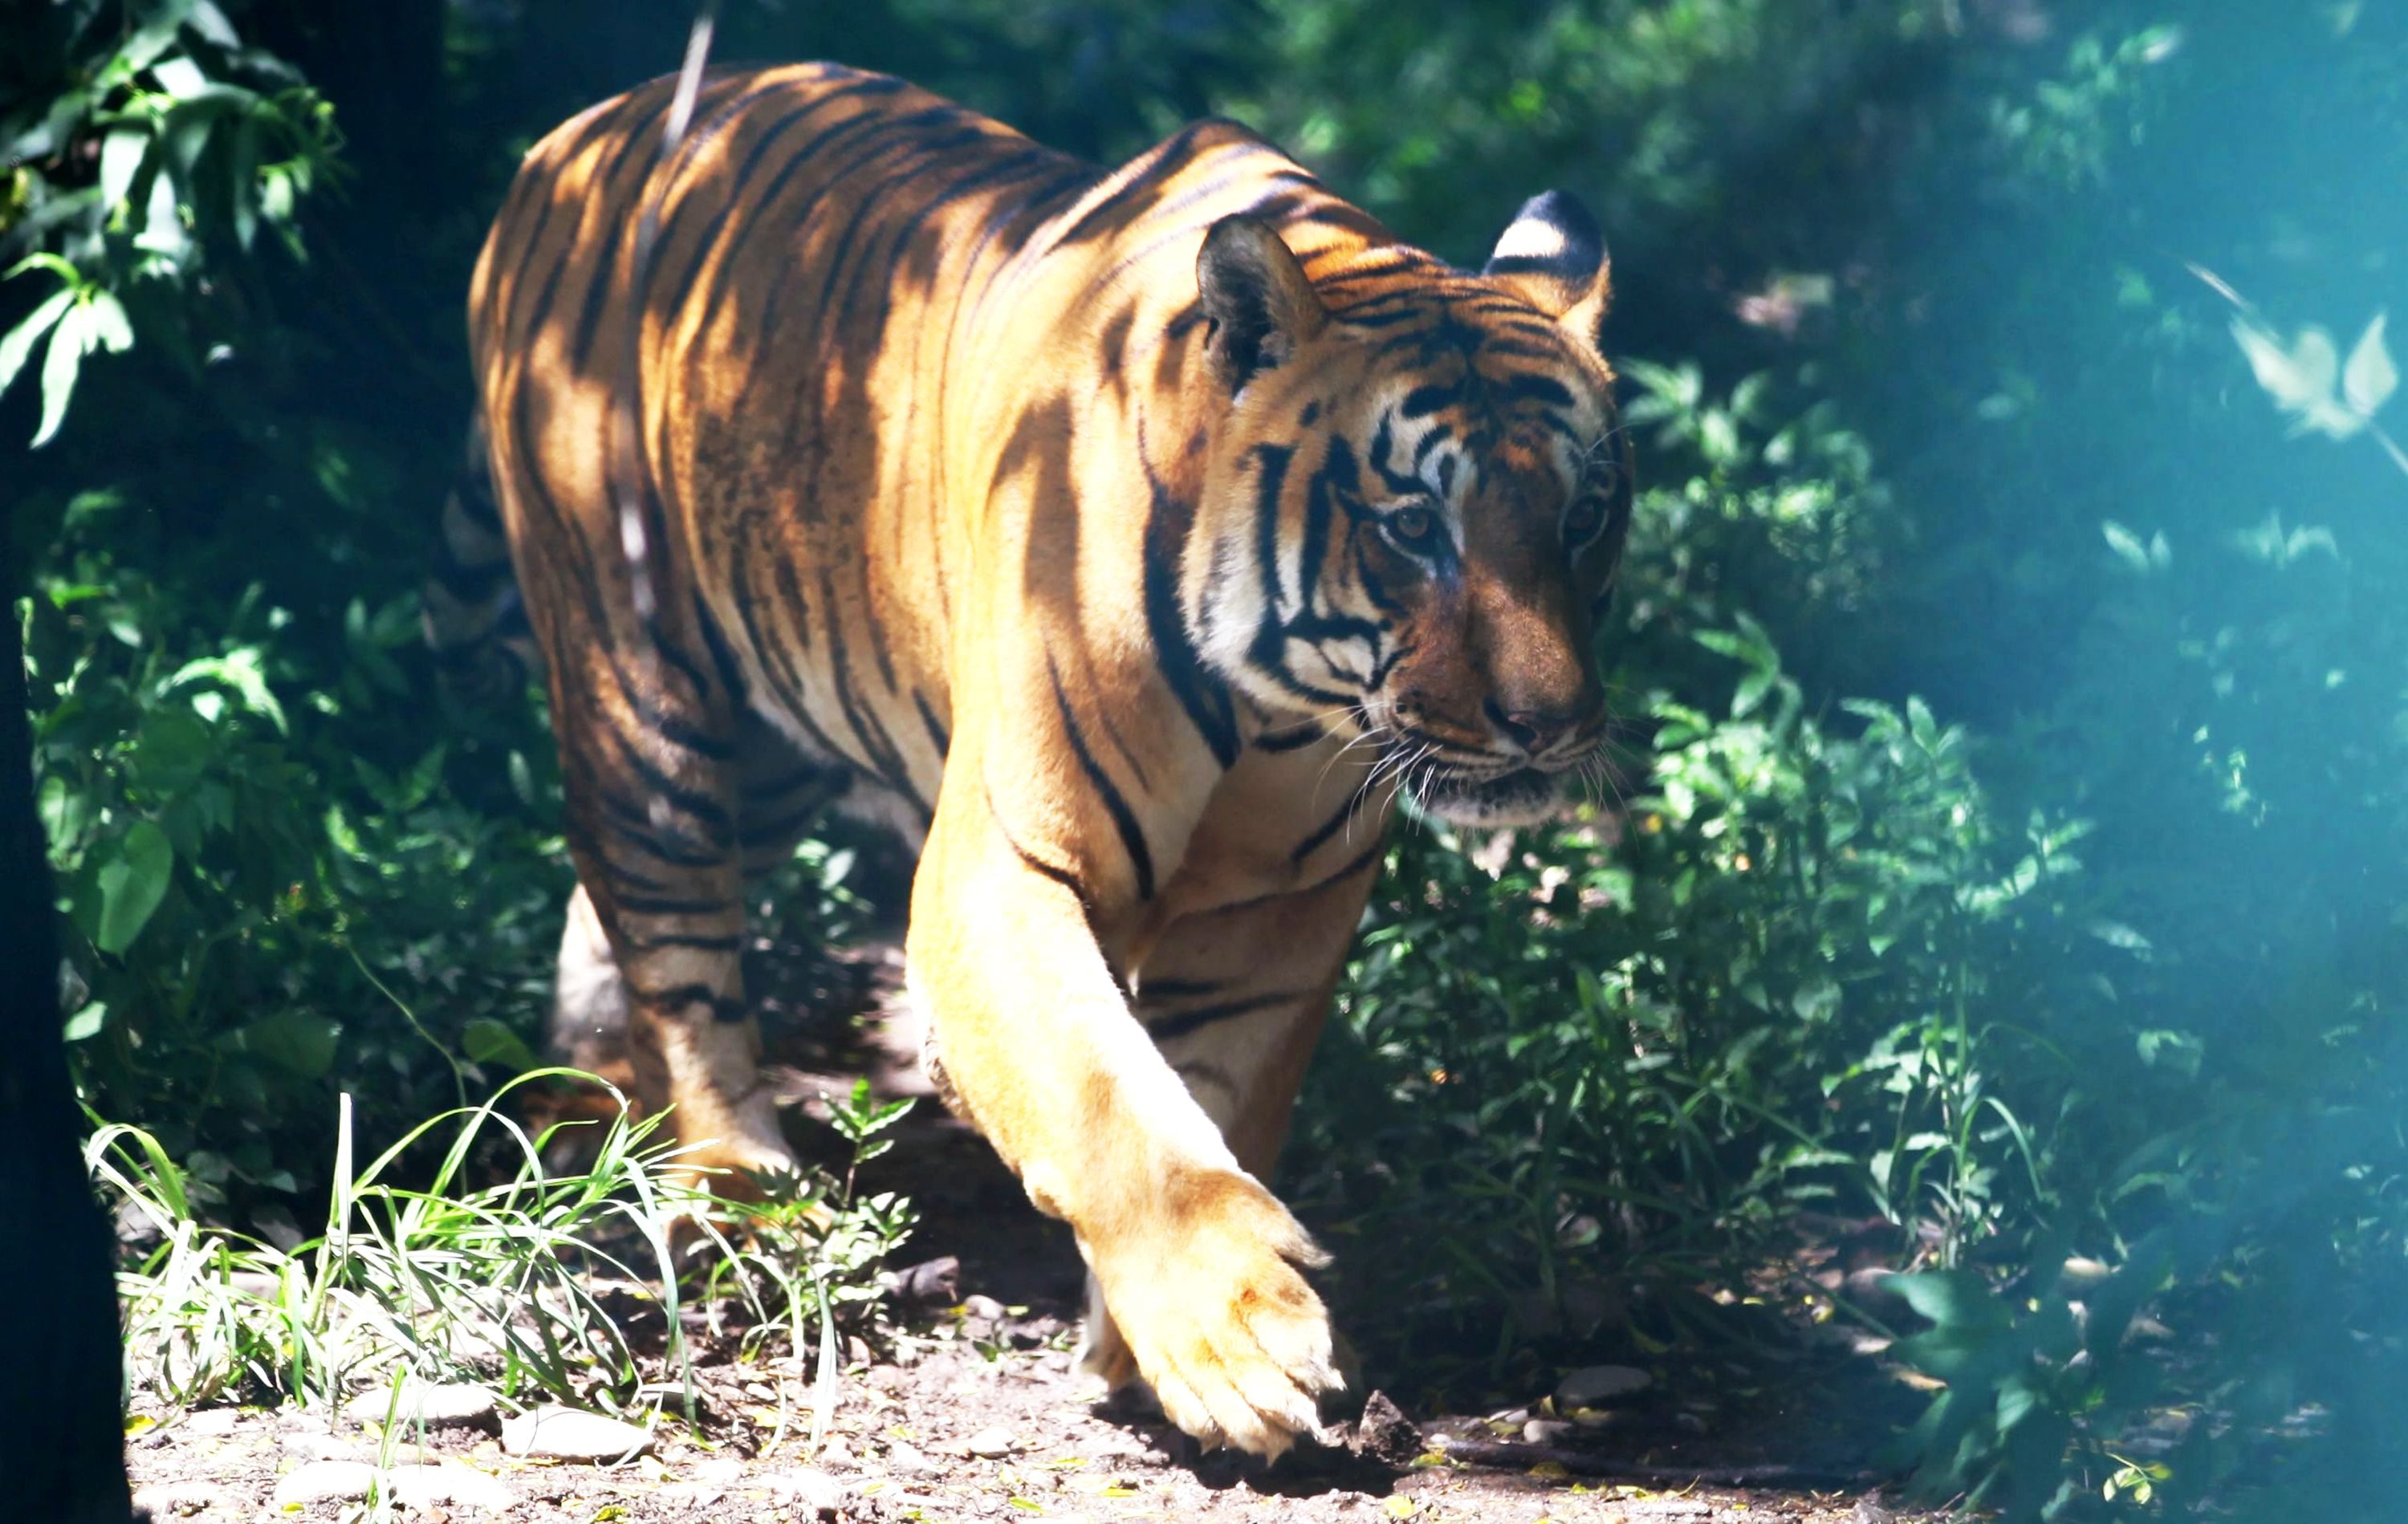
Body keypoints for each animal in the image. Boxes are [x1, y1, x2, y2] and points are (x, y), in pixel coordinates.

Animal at [433, 62, 1637, 1464]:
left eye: (1586, 514)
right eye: (1411, 526)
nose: (1550, 721)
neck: (1283, 709)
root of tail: (580, 132)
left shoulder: (1281, 911)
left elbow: (1218, 1093)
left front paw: (1148, 1344)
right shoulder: (1003, 864)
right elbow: (1106, 1097)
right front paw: (1236, 1332)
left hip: (778, 725)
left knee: (614, 911)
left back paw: (593, 1104)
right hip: (643, 684)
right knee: (672, 934)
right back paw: (730, 1181)